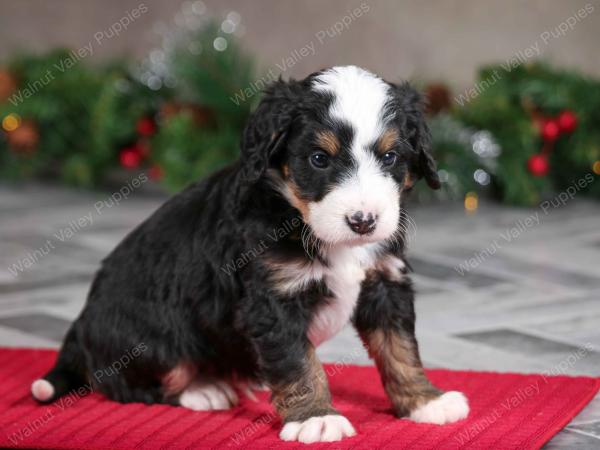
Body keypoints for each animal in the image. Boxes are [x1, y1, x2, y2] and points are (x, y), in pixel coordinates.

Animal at [31, 66, 468, 442]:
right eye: (319, 159)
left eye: (390, 157)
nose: (363, 221)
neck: (298, 217)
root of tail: (82, 322)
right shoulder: (272, 299)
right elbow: (299, 362)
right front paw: (316, 418)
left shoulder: (385, 281)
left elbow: (400, 348)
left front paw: (425, 401)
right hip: (154, 340)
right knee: (132, 383)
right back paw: (204, 389)